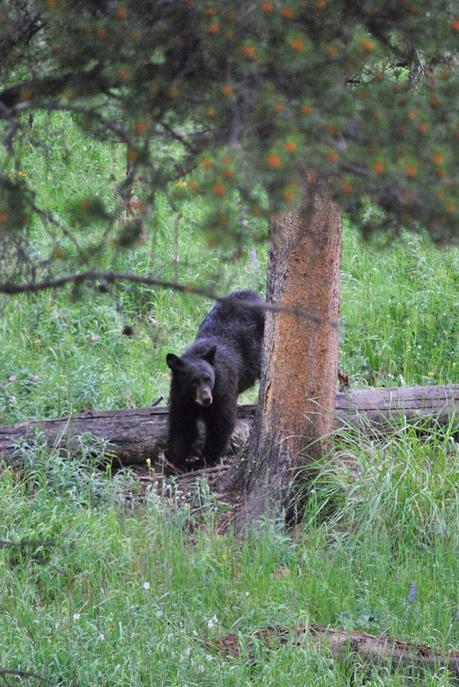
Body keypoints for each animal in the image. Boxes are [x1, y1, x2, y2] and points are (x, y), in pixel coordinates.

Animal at [165, 290, 266, 472]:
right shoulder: (180, 396)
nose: (206, 398)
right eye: (193, 381)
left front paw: (204, 459)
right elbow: (182, 425)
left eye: (209, 379)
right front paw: (176, 461)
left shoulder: (222, 389)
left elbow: (221, 422)